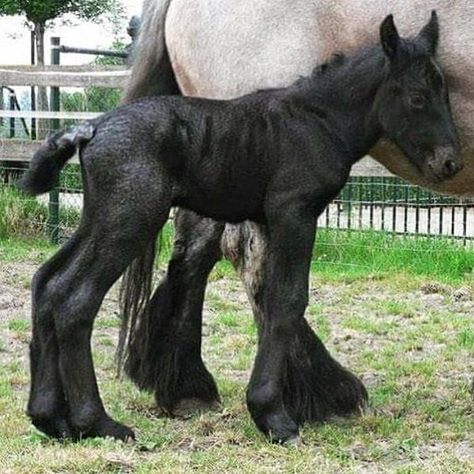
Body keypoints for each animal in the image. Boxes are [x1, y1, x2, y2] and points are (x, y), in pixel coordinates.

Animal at [20, 12, 462, 442]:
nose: (450, 163)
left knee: (47, 283)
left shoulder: (269, 221)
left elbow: (269, 293)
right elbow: (287, 299)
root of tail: (90, 129)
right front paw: (273, 417)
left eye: (445, 93)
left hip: (99, 219)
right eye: (418, 97)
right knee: (75, 299)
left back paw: (50, 419)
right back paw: (96, 422)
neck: (317, 119)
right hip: (129, 219)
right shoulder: (294, 213)